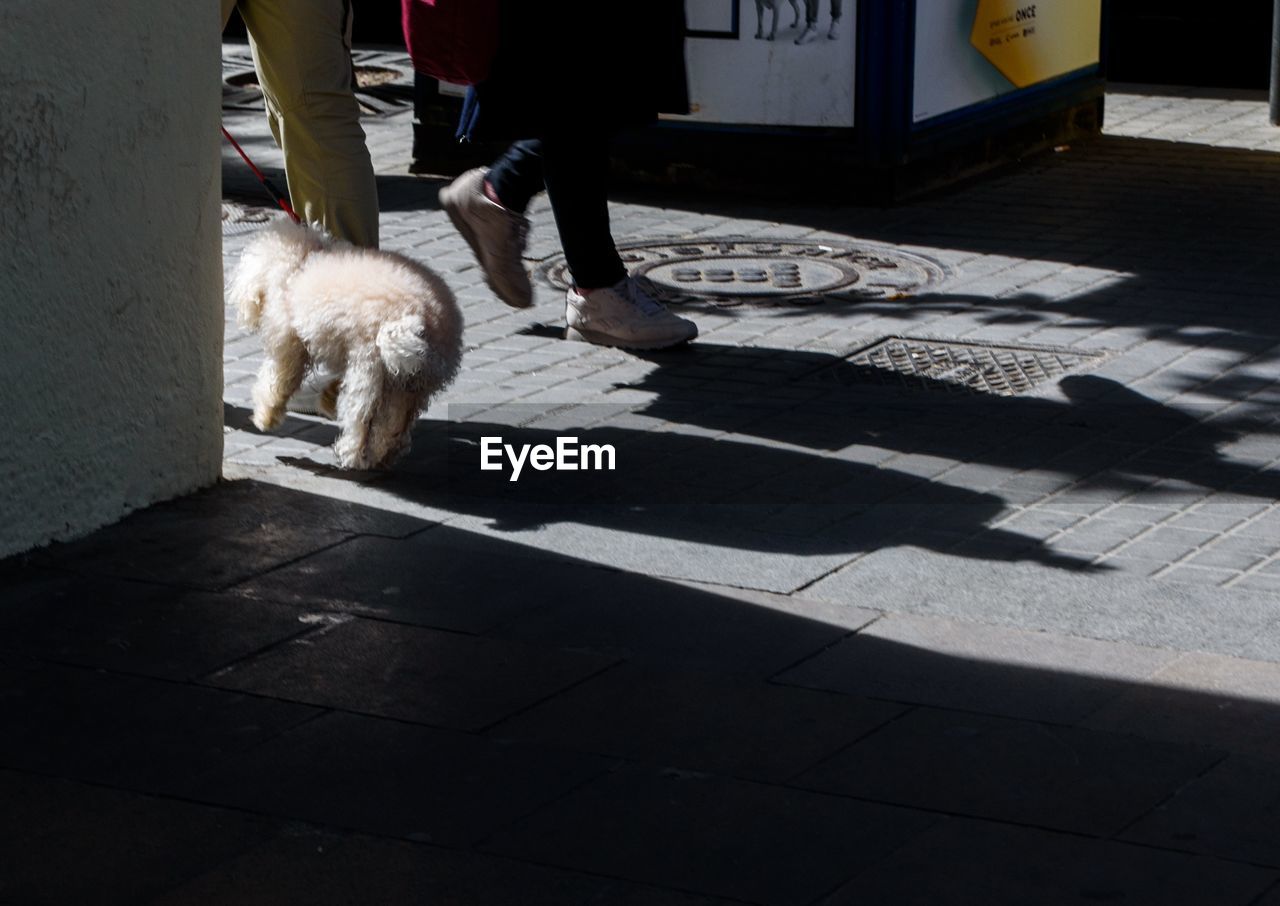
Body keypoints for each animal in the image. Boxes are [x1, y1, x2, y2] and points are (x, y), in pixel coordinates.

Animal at [227, 220, 463, 470]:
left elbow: (278, 382)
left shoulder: (288, 343)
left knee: (361, 418)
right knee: (393, 423)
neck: (300, 261)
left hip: (368, 369)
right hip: (407, 384)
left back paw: (352, 453)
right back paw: (382, 455)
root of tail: (422, 320)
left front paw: (266, 418)